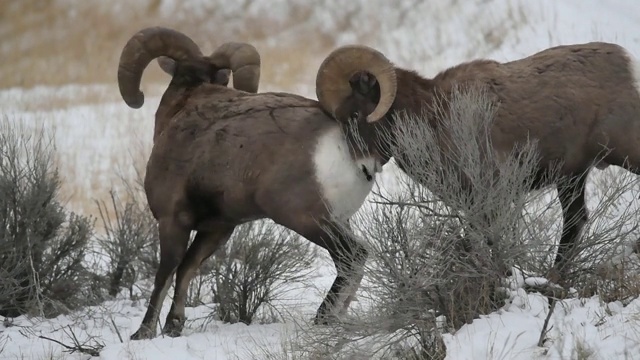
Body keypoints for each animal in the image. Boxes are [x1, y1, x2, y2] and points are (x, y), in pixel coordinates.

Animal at [117, 28, 392, 340]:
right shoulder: (217, 229)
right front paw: (173, 326)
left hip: (307, 219)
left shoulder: (172, 220)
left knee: (352, 256)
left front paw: (143, 333)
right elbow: (186, 269)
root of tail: (353, 149)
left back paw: (322, 319)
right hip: (338, 219)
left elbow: (164, 273)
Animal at [318, 42, 640, 282]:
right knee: (575, 221)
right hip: (572, 178)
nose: (363, 168)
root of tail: (627, 63)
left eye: (355, 115)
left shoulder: (489, 199)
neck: (431, 117)